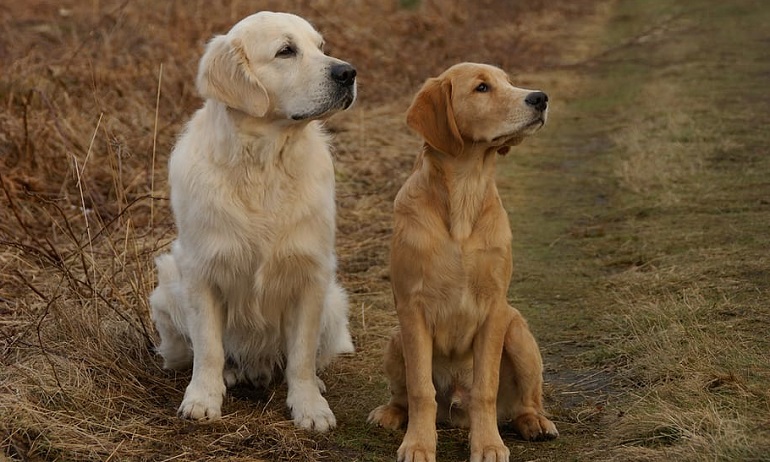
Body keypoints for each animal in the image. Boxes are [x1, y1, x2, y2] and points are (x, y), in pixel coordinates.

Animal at [148, 11, 356, 434]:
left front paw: (309, 405)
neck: (263, 164)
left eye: (321, 47)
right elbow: (209, 348)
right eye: (286, 51)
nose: (349, 72)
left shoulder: (310, 274)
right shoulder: (201, 273)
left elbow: (301, 356)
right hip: (167, 289)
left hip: (334, 302)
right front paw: (202, 398)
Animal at [368, 62, 556, 462]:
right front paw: (419, 444)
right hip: (395, 339)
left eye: (508, 81)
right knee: (405, 396)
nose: (540, 97)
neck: (465, 193)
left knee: (523, 403)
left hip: (518, 333)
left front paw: (488, 445)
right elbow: (420, 389)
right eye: (482, 88)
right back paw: (391, 413)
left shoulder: (494, 308)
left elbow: (485, 388)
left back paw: (534, 422)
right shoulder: (412, 308)